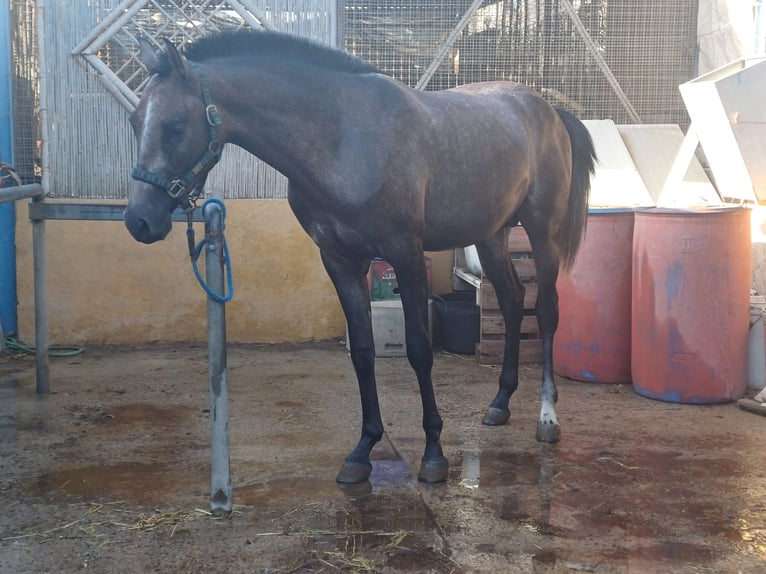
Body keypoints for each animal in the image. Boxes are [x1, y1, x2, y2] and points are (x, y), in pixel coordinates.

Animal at [124, 30, 600, 486]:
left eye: (175, 126)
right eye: (134, 121)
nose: (139, 221)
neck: (341, 137)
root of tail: (549, 111)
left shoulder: (406, 254)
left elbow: (419, 350)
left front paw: (433, 454)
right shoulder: (340, 260)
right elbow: (363, 351)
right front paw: (362, 451)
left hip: (542, 231)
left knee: (546, 309)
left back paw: (547, 417)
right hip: (491, 234)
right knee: (513, 300)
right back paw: (500, 403)